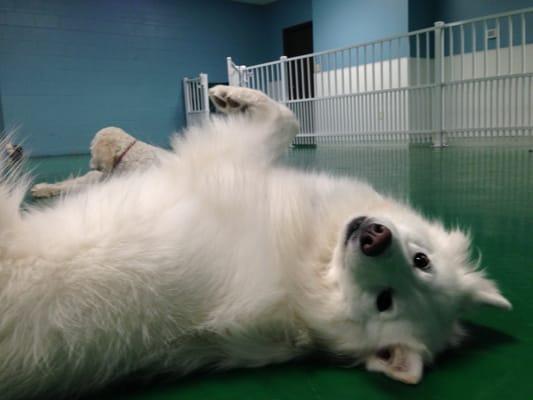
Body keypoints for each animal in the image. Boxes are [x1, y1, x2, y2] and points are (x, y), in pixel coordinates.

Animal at [29, 126, 166, 198]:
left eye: (92, 149)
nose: (91, 165)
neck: (126, 153)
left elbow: (73, 187)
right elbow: (69, 183)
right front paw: (44, 188)